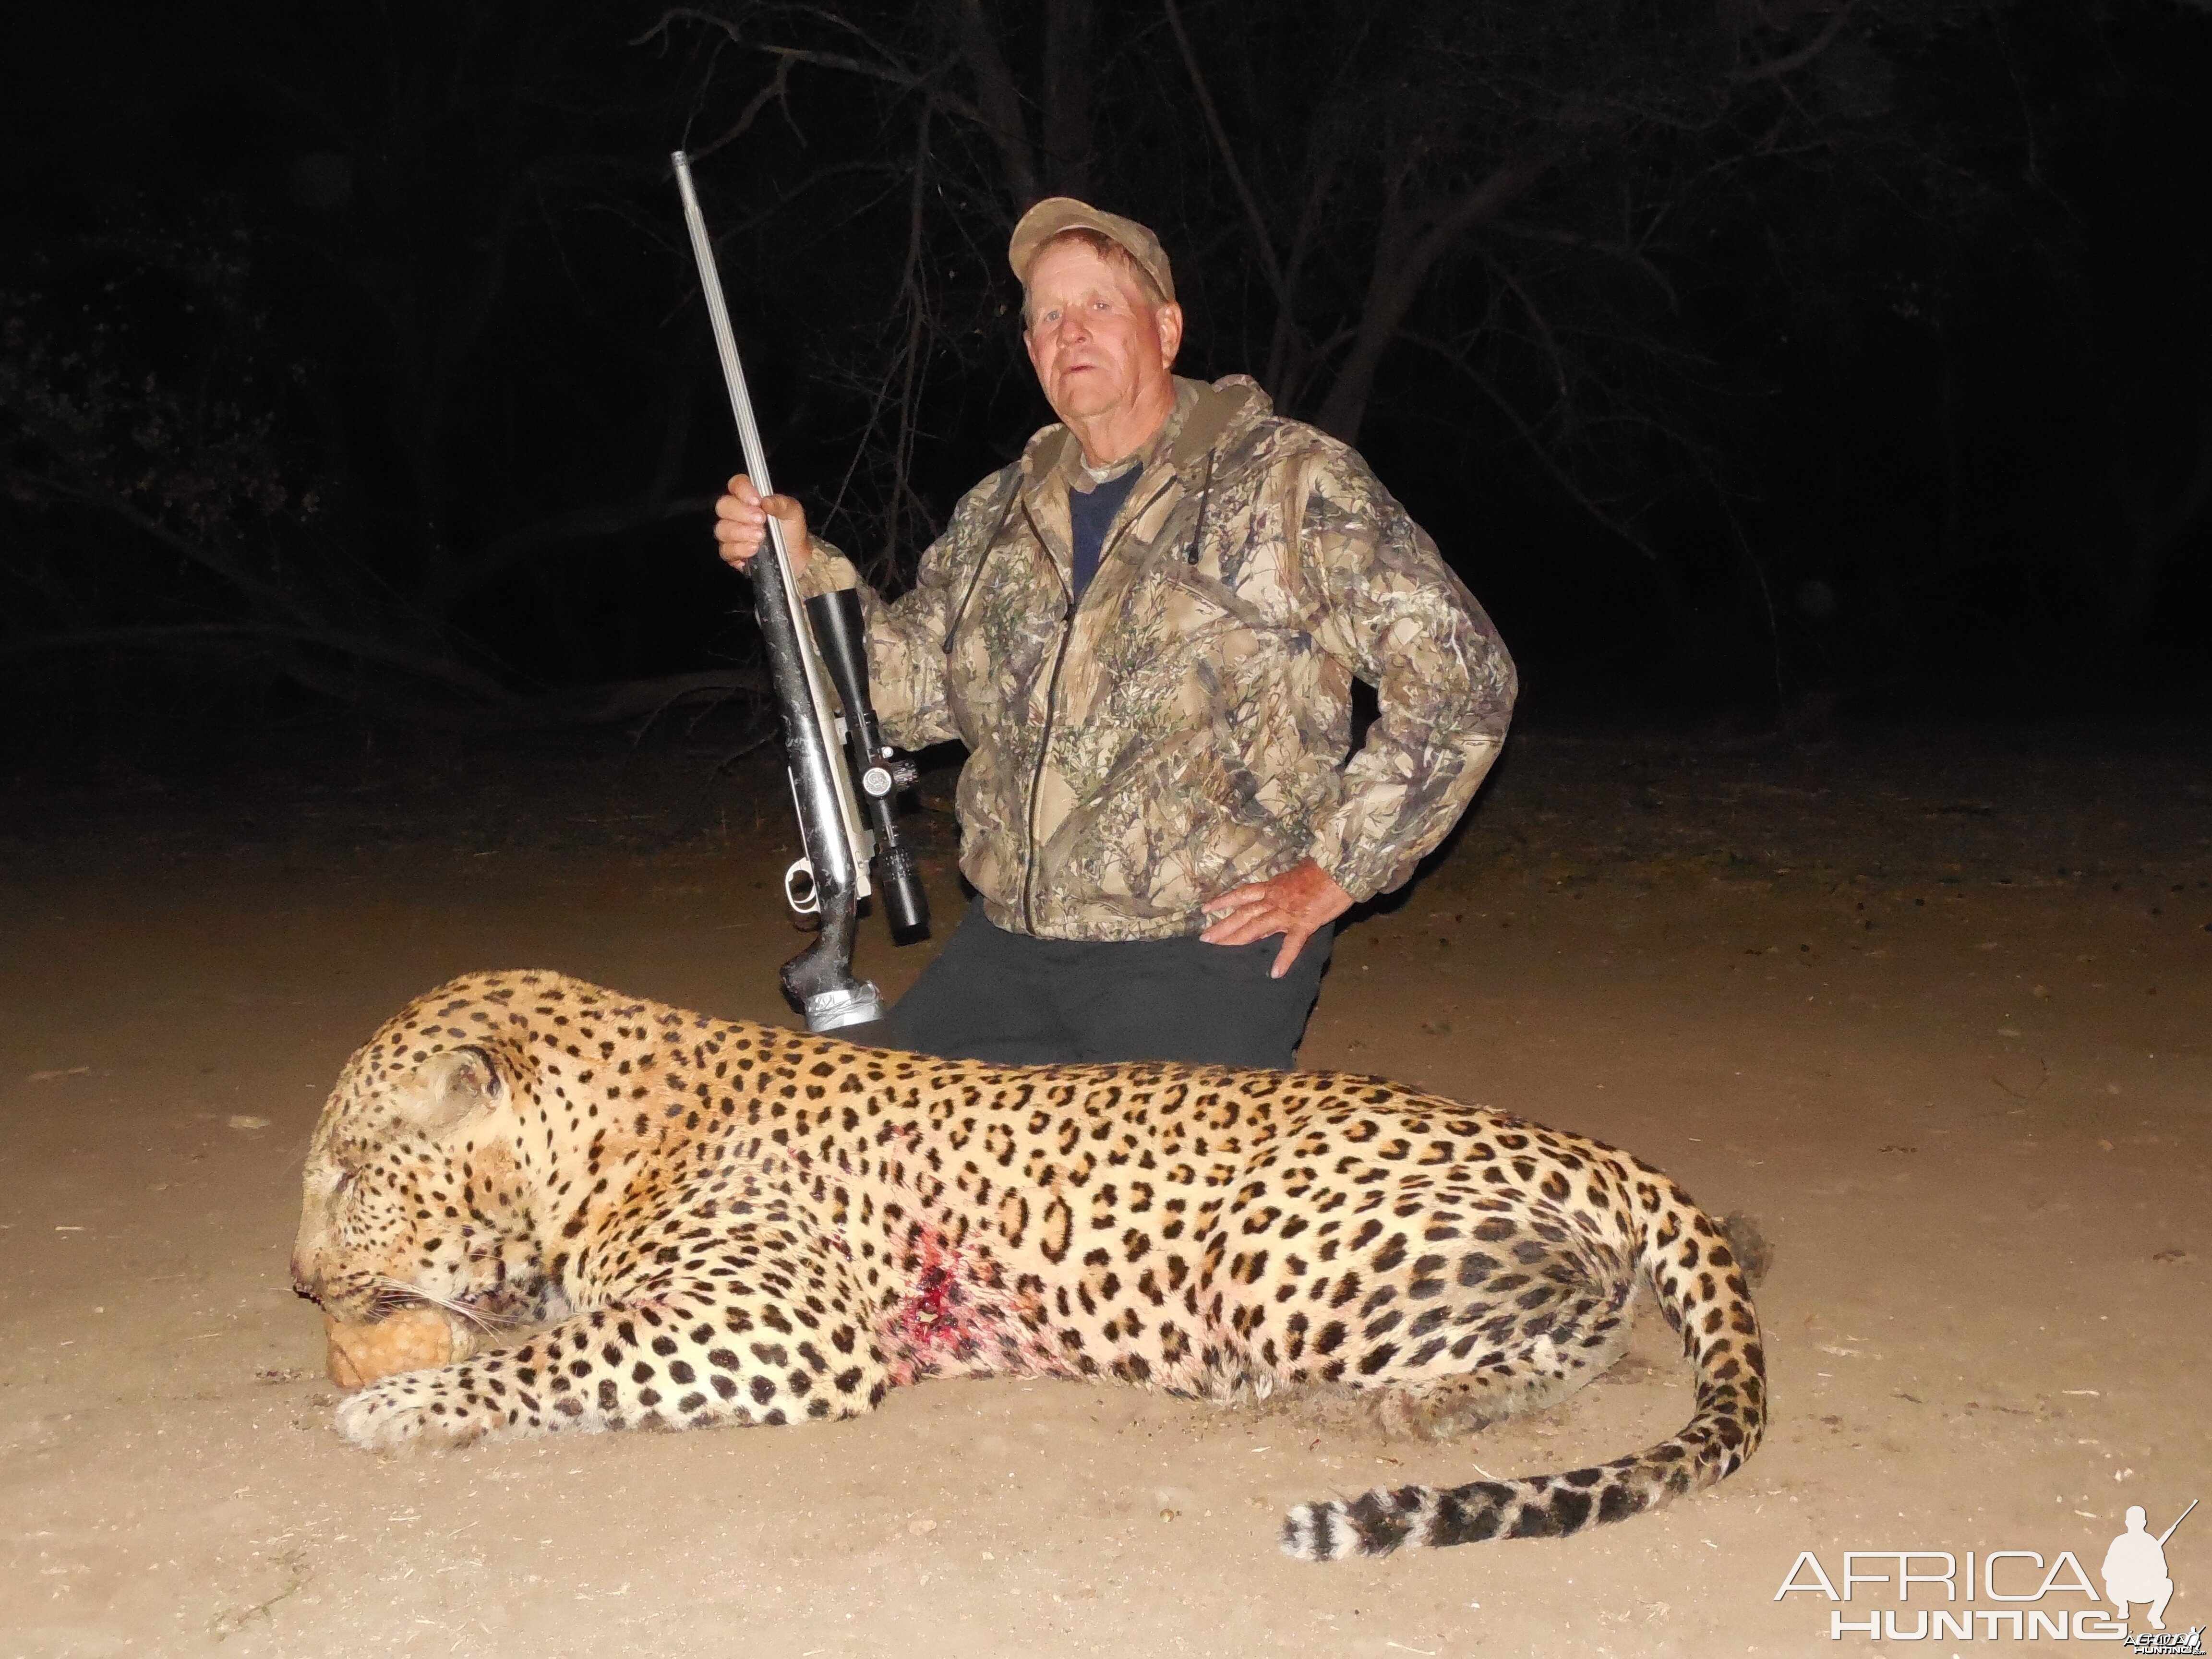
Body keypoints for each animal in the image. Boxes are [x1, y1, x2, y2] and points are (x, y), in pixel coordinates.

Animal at [294, 969, 1769, 1566]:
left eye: (350, 1172)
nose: (302, 1279)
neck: (591, 1140)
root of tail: (1577, 1139)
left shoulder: (783, 1321)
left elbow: (562, 1351)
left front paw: (392, 1402)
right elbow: (542, 1325)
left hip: (1284, 1252)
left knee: (1591, 1315)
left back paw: (1440, 1400)